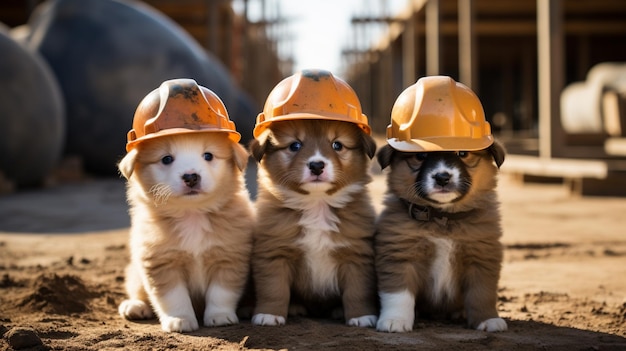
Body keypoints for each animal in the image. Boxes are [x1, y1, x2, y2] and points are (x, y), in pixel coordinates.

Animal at [117, 78, 254, 334]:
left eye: (208, 155)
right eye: (167, 159)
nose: (191, 177)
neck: (193, 215)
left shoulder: (229, 257)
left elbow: (221, 293)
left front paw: (220, 316)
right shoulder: (160, 263)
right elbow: (173, 297)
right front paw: (180, 320)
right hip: (135, 273)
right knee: (138, 289)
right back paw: (135, 306)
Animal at [247, 119, 376, 328]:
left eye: (337, 145)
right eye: (295, 145)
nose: (316, 165)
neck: (317, 205)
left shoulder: (356, 255)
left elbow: (357, 291)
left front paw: (361, 316)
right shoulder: (275, 253)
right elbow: (274, 288)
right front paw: (269, 314)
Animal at [372, 142, 504, 332]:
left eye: (463, 153)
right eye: (420, 156)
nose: (442, 177)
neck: (442, 218)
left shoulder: (481, 258)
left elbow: (482, 293)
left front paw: (488, 319)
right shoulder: (400, 255)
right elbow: (398, 294)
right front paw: (395, 320)